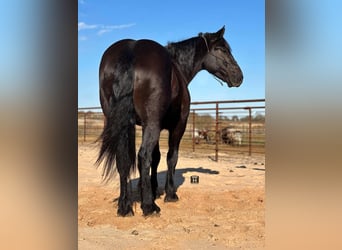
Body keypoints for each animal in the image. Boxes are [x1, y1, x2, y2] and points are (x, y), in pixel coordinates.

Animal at [95, 26, 243, 216]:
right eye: (222, 49)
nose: (239, 76)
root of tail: (131, 50)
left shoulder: (151, 127)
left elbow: (156, 157)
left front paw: (151, 188)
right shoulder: (177, 126)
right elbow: (171, 157)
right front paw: (169, 194)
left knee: (123, 159)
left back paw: (125, 206)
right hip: (152, 124)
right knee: (143, 155)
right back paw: (149, 207)